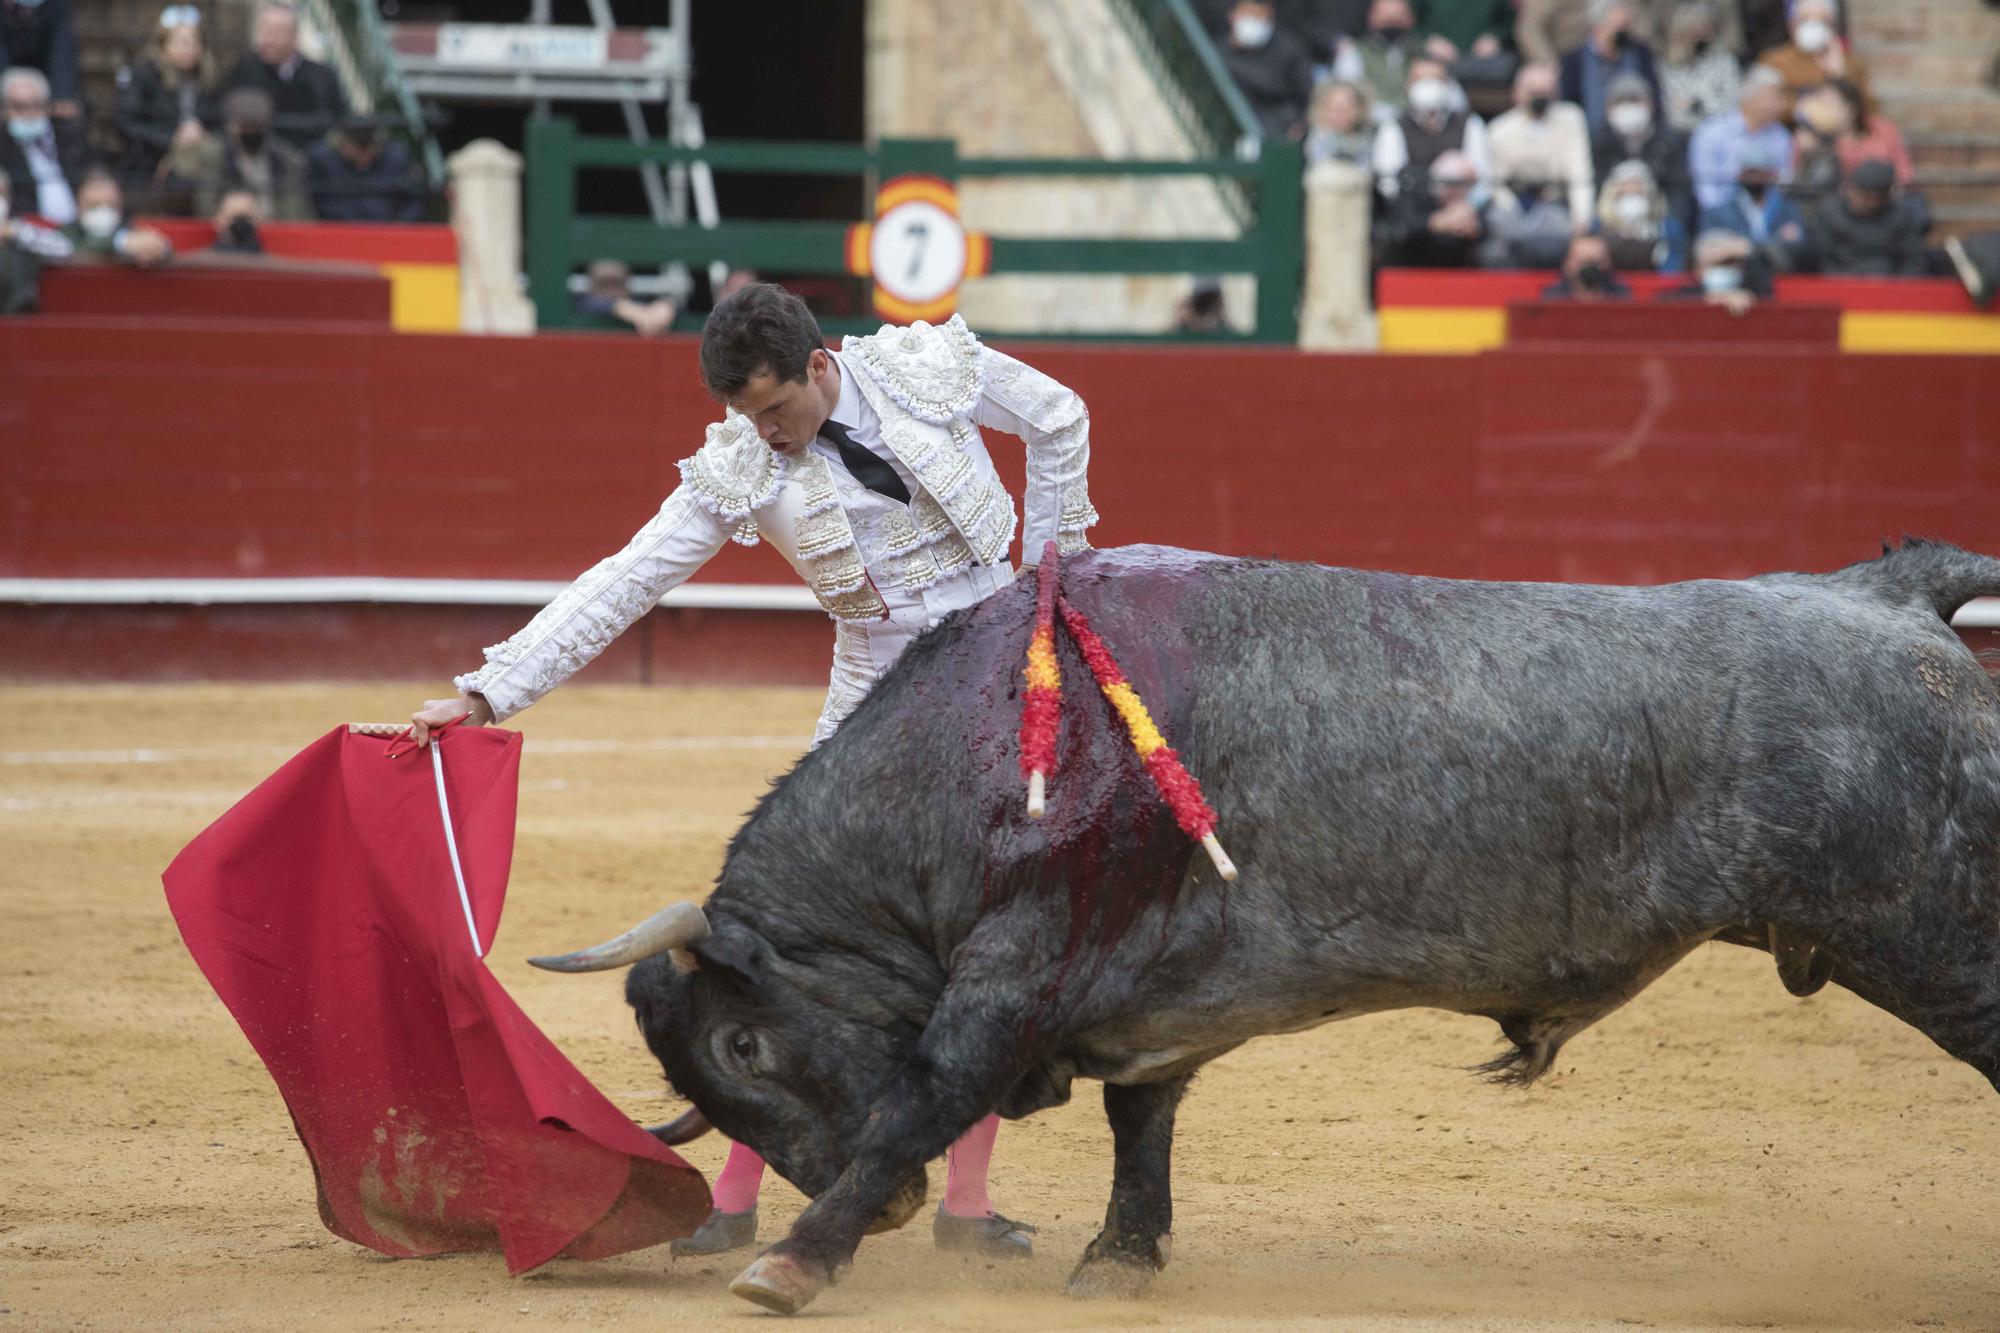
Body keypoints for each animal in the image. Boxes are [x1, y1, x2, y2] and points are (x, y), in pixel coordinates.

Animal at [528, 536, 2000, 1304]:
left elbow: (930, 1093)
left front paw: (795, 1260)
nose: (880, 1213)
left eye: (744, 1047)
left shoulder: (1009, 974)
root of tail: (1882, 593)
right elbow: (1141, 1120)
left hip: (1938, 929)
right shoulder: (1150, 994)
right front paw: (1119, 1261)